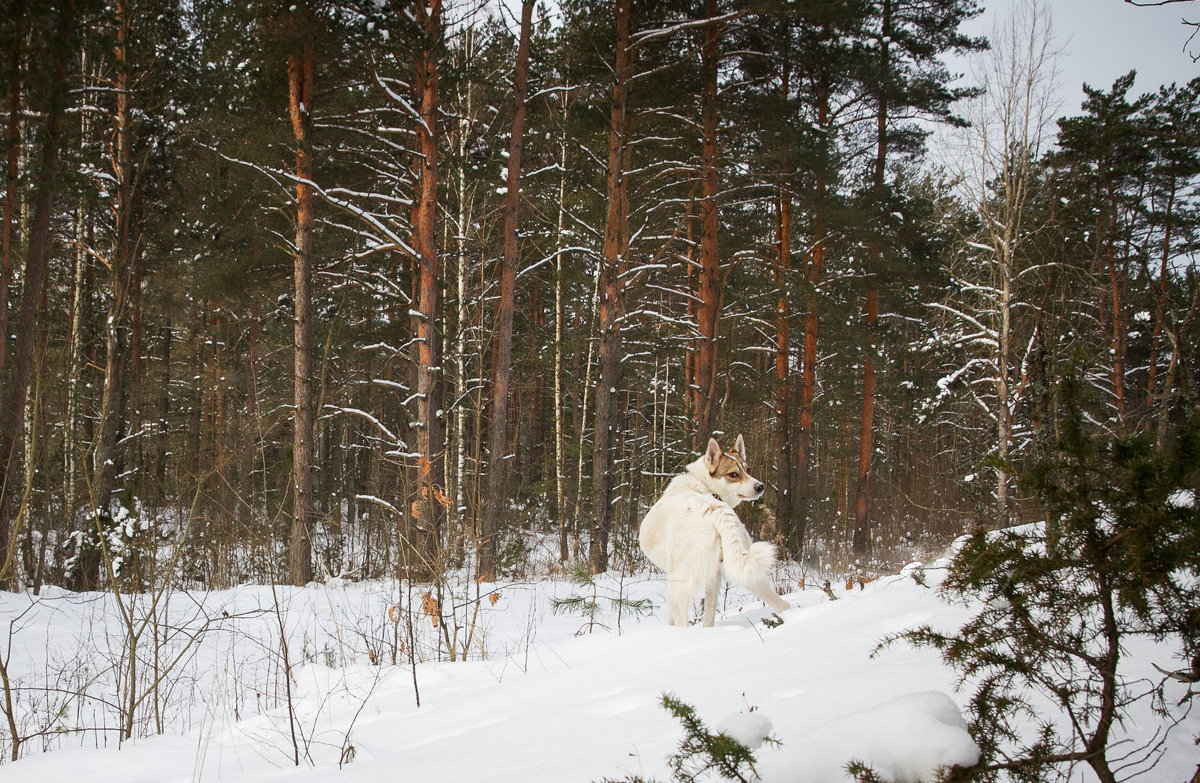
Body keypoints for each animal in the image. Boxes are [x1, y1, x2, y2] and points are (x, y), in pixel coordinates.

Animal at [638, 434, 787, 624]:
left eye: (747, 469)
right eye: (734, 474)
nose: (760, 486)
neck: (706, 488)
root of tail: (715, 510)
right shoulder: (714, 577)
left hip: (678, 583)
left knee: (680, 621)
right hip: (746, 572)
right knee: (781, 604)